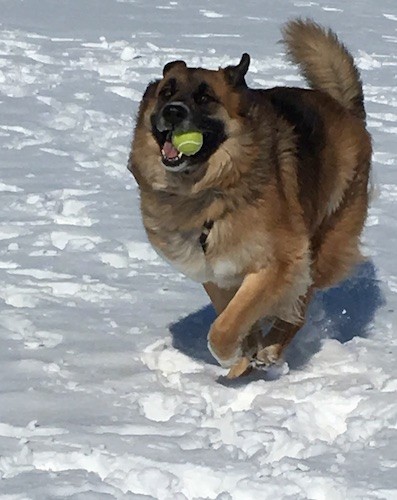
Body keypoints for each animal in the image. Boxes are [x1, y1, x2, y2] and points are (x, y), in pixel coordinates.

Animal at [127, 19, 372, 378]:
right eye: (166, 92)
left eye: (205, 97)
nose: (172, 112)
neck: (211, 190)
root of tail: (344, 108)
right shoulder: (215, 272)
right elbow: (235, 316)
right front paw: (245, 354)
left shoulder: (281, 262)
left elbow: (223, 329)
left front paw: (236, 355)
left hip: (323, 247)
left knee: (300, 308)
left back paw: (272, 349)